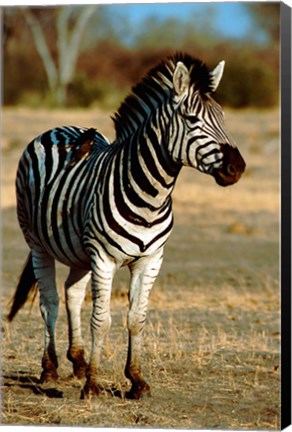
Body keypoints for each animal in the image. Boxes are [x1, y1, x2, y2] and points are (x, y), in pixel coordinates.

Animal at [7, 52, 244, 400]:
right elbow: (102, 320)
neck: (152, 195)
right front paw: (93, 385)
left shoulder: (151, 259)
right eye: (191, 120)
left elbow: (136, 318)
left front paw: (136, 380)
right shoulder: (103, 258)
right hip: (37, 243)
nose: (237, 168)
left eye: (223, 118)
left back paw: (77, 361)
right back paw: (50, 369)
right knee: (49, 302)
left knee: (72, 293)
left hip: (78, 251)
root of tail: (60, 128)